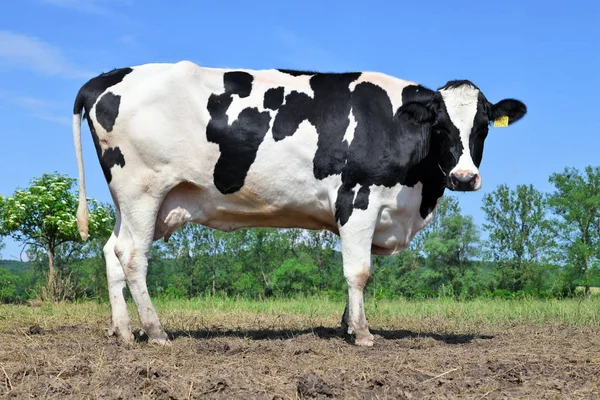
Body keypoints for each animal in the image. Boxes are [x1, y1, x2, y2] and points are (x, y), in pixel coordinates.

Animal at [72, 61, 528, 346]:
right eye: (440, 124)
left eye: (483, 126)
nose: (464, 177)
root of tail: (106, 78)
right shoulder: (358, 200)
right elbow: (359, 272)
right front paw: (363, 334)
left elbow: (357, 274)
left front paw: (347, 327)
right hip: (142, 190)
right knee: (133, 257)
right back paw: (156, 332)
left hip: (134, 201)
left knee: (111, 251)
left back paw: (123, 332)